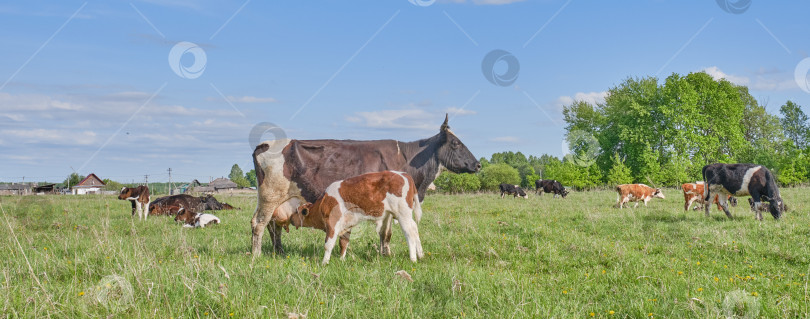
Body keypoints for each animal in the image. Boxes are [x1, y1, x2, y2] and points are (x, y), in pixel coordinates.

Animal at [252, 116, 476, 256]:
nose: (478, 164)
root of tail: (265, 144)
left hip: (281, 200)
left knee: (273, 226)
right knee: (259, 224)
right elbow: (386, 233)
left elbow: (385, 233)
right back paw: (257, 254)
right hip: (269, 196)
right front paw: (387, 255)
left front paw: (385, 253)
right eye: (456, 143)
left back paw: (279, 252)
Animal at [292, 171, 430, 266]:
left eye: (296, 211)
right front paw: (342, 259)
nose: (291, 220)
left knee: (409, 233)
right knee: (415, 229)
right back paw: (421, 255)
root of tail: (404, 174)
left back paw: (413, 258)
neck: (324, 202)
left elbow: (328, 244)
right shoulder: (346, 224)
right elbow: (343, 243)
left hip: (402, 214)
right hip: (405, 215)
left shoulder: (333, 223)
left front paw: (324, 263)